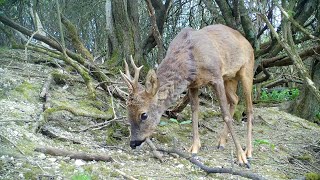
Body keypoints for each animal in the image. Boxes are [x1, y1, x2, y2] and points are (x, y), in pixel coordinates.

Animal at [121, 24, 254, 167]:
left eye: (144, 115)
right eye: (127, 112)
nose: (133, 143)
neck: (191, 62)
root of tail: (247, 42)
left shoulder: (216, 76)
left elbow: (225, 115)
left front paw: (241, 157)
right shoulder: (193, 84)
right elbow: (194, 111)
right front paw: (194, 147)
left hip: (247, 69)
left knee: (249, 108)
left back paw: (248, 151)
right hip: (229, 78)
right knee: (235, 99)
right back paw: (222, 142)